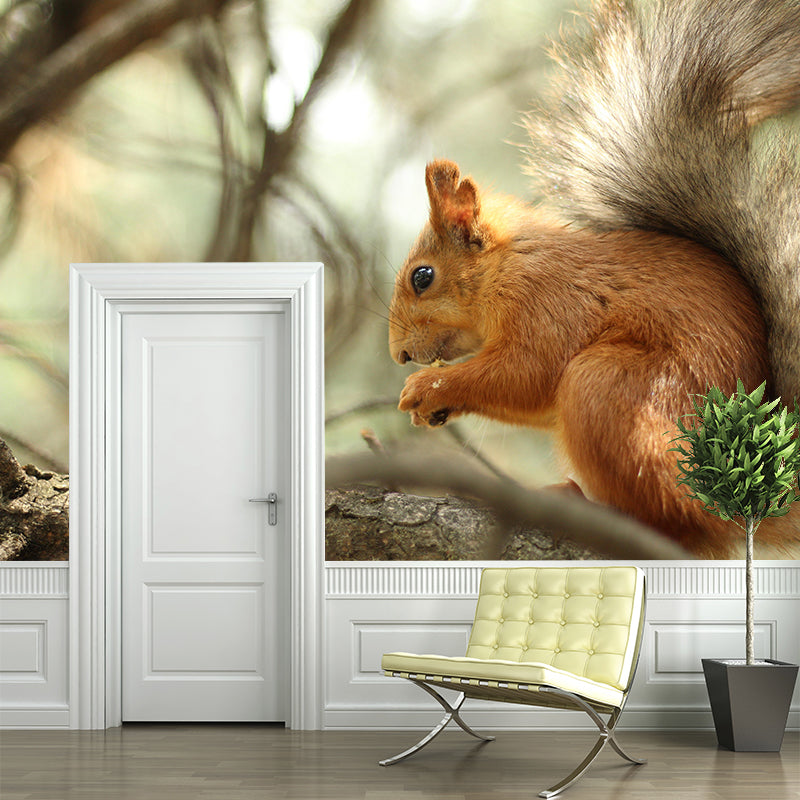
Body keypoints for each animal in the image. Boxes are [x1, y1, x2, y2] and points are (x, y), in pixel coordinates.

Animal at [387, 0, 800, 559]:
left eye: (423, 277)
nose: (399, 355)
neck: (506, 266)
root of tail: (738, 498)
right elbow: (532, 399)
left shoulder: (549, 301)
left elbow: (526, 372)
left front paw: (428, 386)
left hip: (611, 388)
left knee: (671, 520)